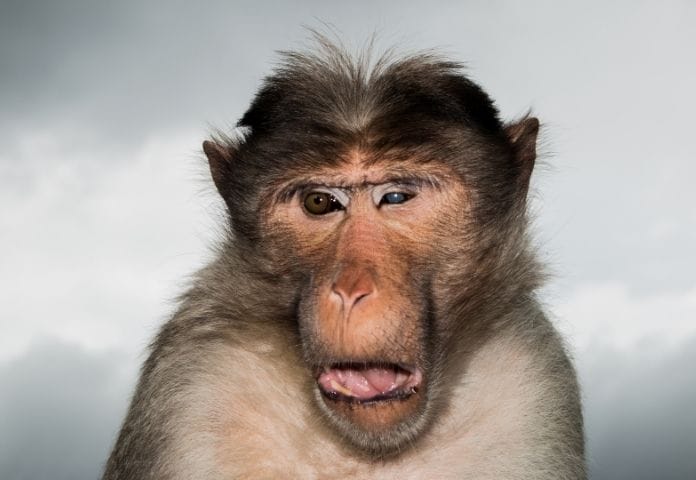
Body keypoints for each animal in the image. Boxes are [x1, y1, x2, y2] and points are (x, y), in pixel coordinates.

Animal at [103, 39, 585, 479]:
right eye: (319, 202)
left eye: (396, 197)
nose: (350, 289)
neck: (369, 452)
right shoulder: (189, 387)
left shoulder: (534, 389)